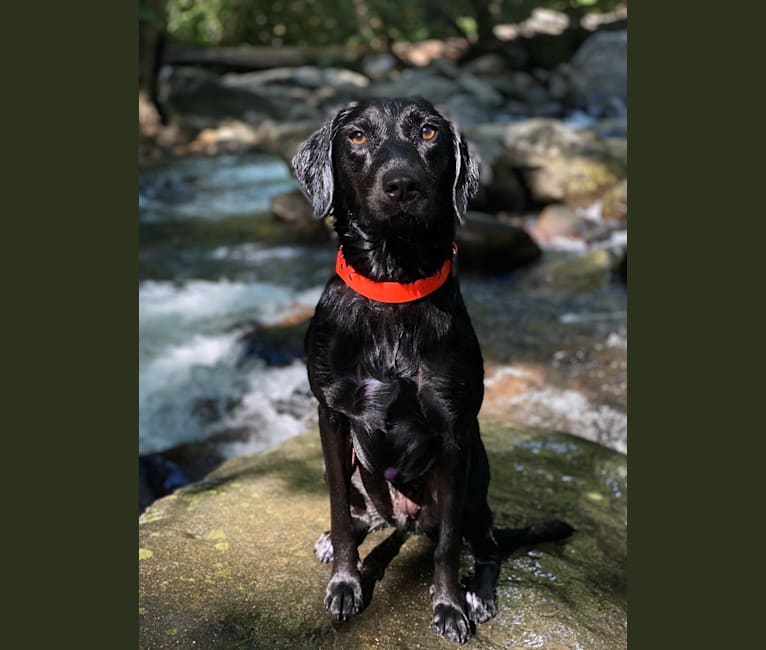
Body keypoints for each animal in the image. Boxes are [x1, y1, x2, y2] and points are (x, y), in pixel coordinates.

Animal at [294, 98, 568, 640]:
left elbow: (445, 546)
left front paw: (449, 606)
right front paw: (346, 583)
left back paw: (478, 593)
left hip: (476, 486)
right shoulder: (331, 414)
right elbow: (338, 510)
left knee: (484, 544)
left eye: (428, 132)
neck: (393, 286)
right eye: (357, 136)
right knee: (365, 514)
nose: (401, 185)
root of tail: (405, 520)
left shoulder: (454, 431)